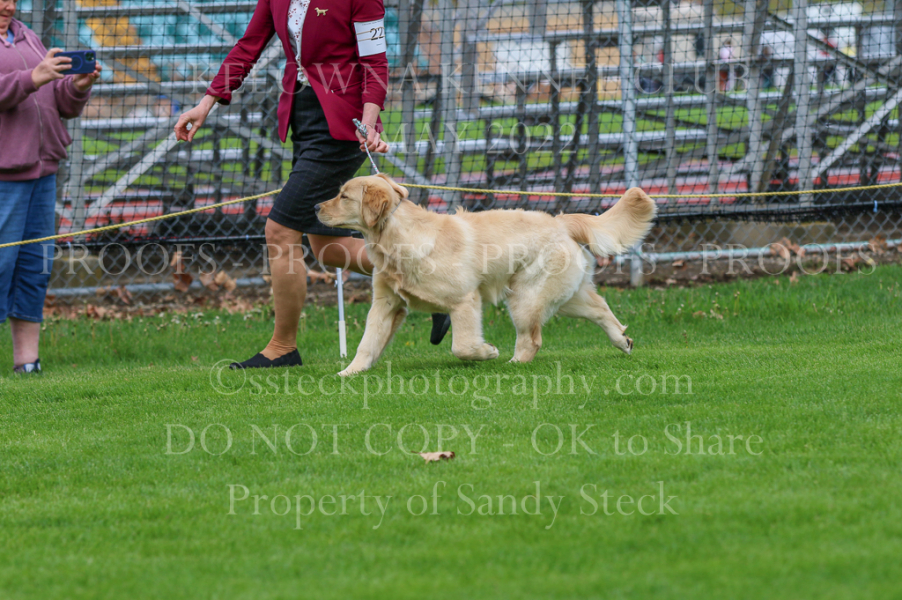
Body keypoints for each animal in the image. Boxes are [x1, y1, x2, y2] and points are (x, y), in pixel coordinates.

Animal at [315, 174, 656, 376]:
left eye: (344, 196)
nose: (316, 206)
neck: (398, 238)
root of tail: (561, 221)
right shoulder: (386, 304)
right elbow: (367, 343)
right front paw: (349, 373)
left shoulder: (464, 301)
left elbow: (462, 346)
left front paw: (487, 351)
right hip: (564, 295)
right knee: (601, 309)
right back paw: (622, 341)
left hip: (526, 297)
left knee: (531, 340)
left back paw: (512, 364)